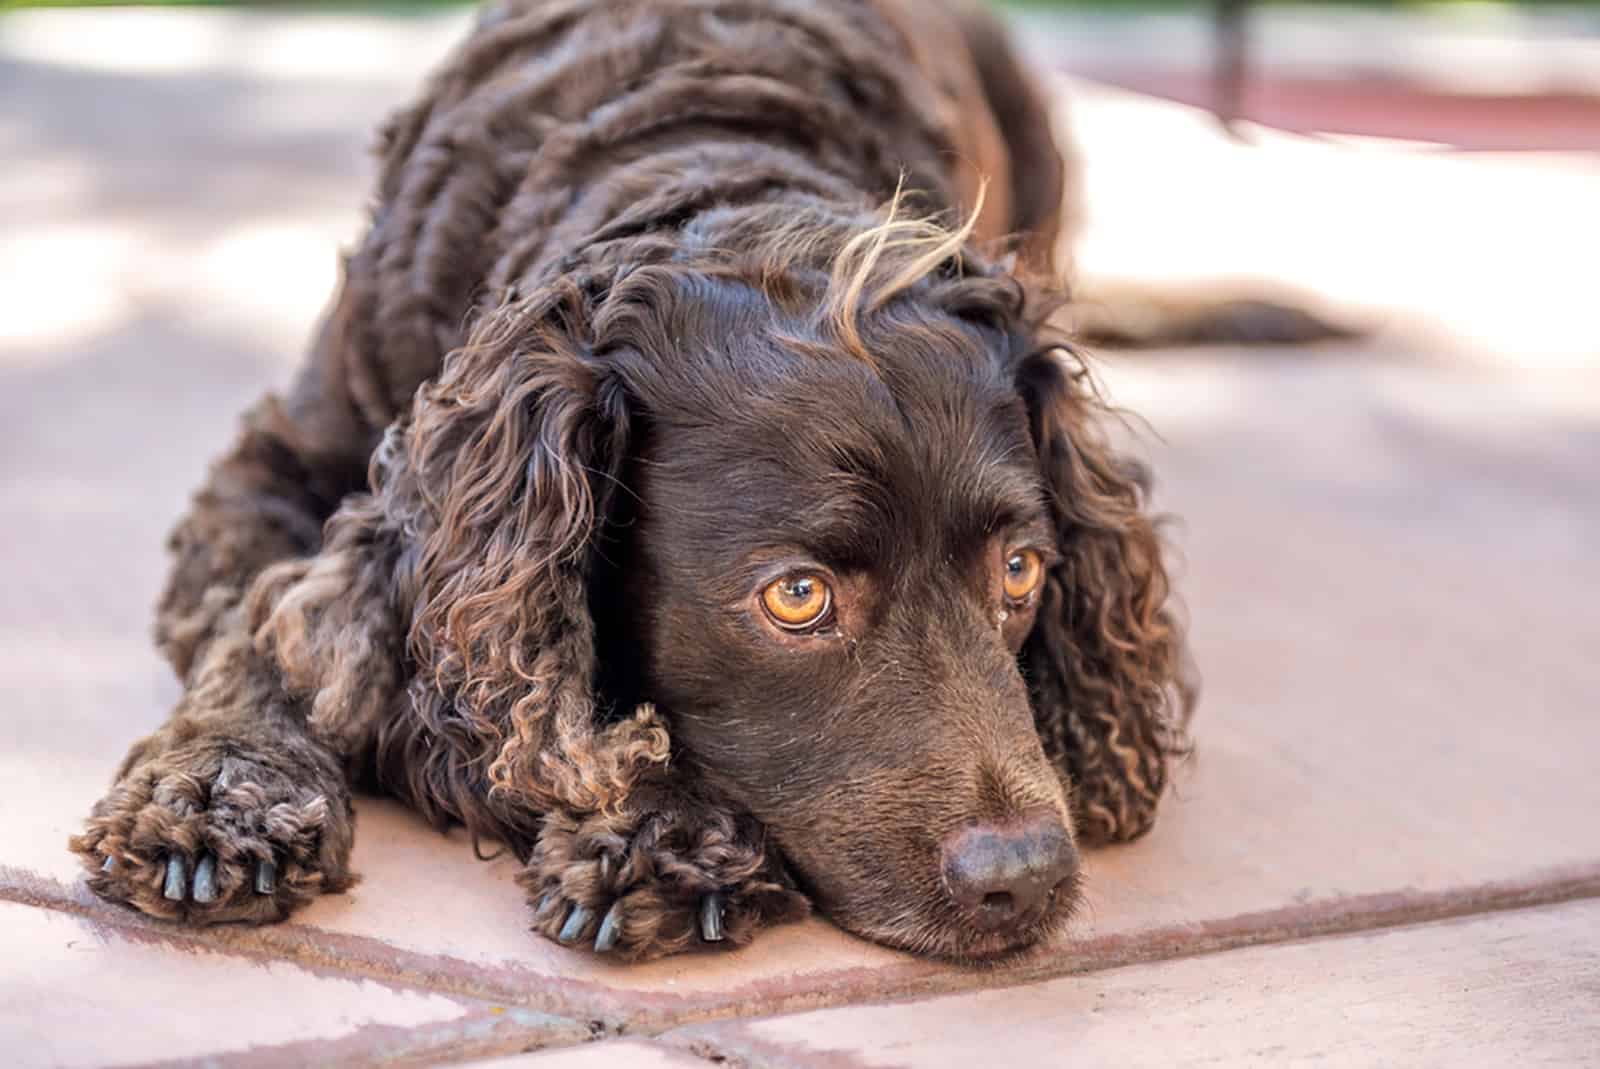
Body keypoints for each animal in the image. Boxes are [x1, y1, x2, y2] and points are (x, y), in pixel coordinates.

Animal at [68, 0, 1190, 966]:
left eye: (1020, 570)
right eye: (797, 595)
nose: (1027, 877)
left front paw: (661, 831)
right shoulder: (275, 467)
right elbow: (263, 629)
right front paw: (220, 791)